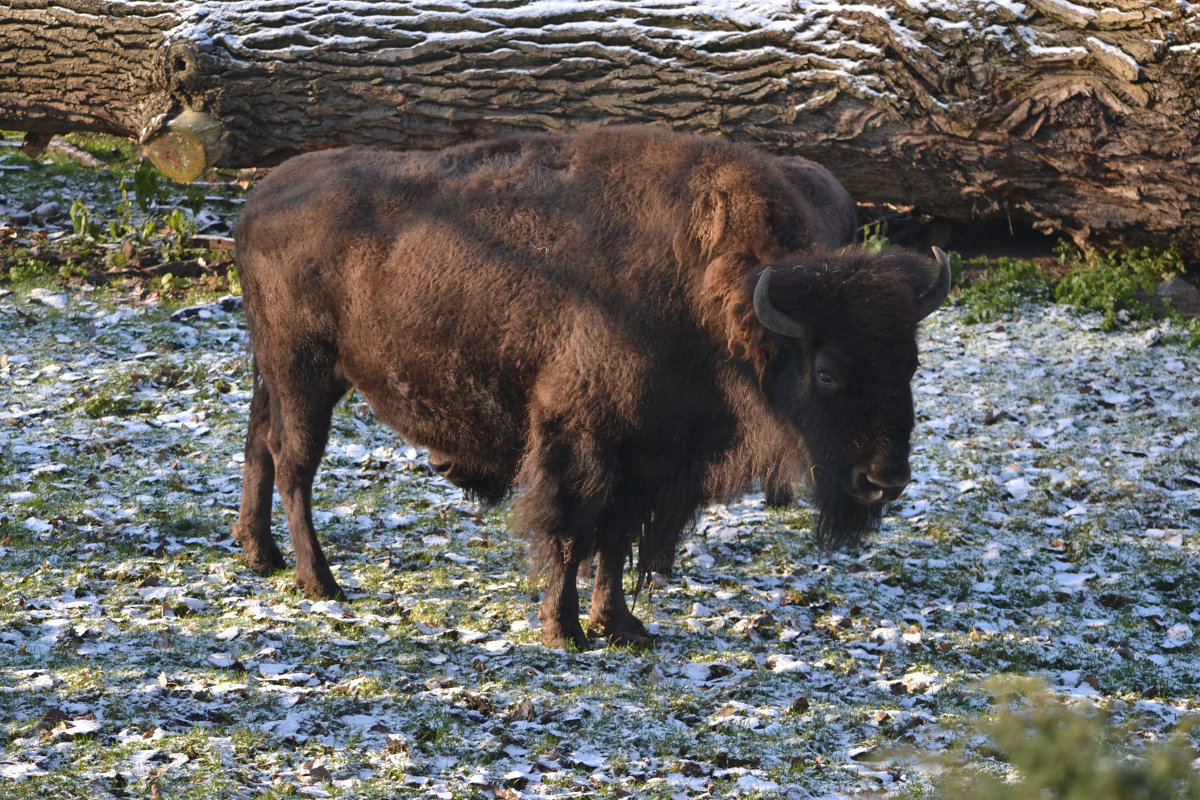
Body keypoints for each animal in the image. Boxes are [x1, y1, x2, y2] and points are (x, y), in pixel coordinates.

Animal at [231, 126, 945, 652]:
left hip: (278, 372)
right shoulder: (582, 441)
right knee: (295, 463)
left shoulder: (649, 457)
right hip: (305, 371)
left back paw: (260, 554)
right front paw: (565, 629)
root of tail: (256, 203)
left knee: (258, 443)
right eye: (826, 371)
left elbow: (614, 539)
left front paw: (622, 625)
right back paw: (320, 582)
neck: (714, 299)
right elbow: (574, 533)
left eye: (910, 363)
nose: (885, 480)